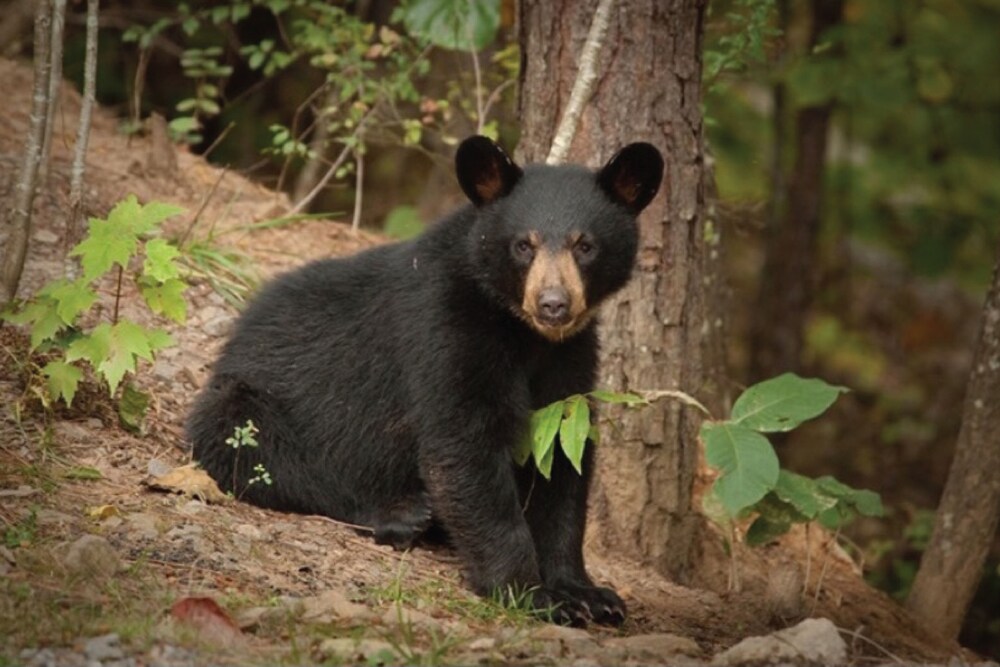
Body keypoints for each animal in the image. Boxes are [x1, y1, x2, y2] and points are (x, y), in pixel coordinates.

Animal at [188, 136, 664, 628]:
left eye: (585, 245)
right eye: (523, 245)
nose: (553, 304)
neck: (524, 334)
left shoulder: (570, 358)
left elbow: (563, 458)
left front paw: (588, 594)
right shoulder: (445, 328)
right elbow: (463, 447)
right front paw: (529, 593)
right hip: (248, 400)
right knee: (256, 452)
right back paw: (402, 513)